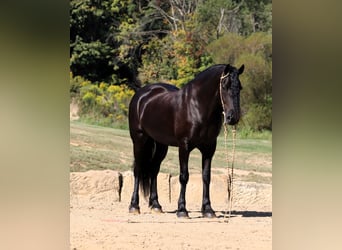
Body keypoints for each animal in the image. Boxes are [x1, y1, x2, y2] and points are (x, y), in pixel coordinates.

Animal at [127, 64, 243, 217]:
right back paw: (134, 206)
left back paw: (156, 205)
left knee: (154, 170)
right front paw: (182, 210)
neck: (196, 106)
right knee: (138, 170)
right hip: (139, 140)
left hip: (161, 145)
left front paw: (208, 209)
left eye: (240, 87)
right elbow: (184, 176)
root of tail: (140, 95)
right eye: (225, 85)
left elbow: (206, 177)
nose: (233, 117)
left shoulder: (209, 148)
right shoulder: (184, 146)